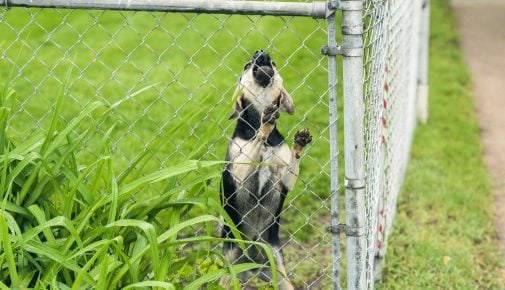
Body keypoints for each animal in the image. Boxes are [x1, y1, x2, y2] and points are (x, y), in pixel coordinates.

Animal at [220, 51, 312, 288]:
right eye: (246, 65)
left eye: (274, 63)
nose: (261, 53)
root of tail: (252, 261)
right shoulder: (240, 172)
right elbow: (258, 137)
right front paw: (265, 124)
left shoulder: (284, 178)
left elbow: (292, 162)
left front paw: (299, 143)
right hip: (227, 269)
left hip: (280, 274)